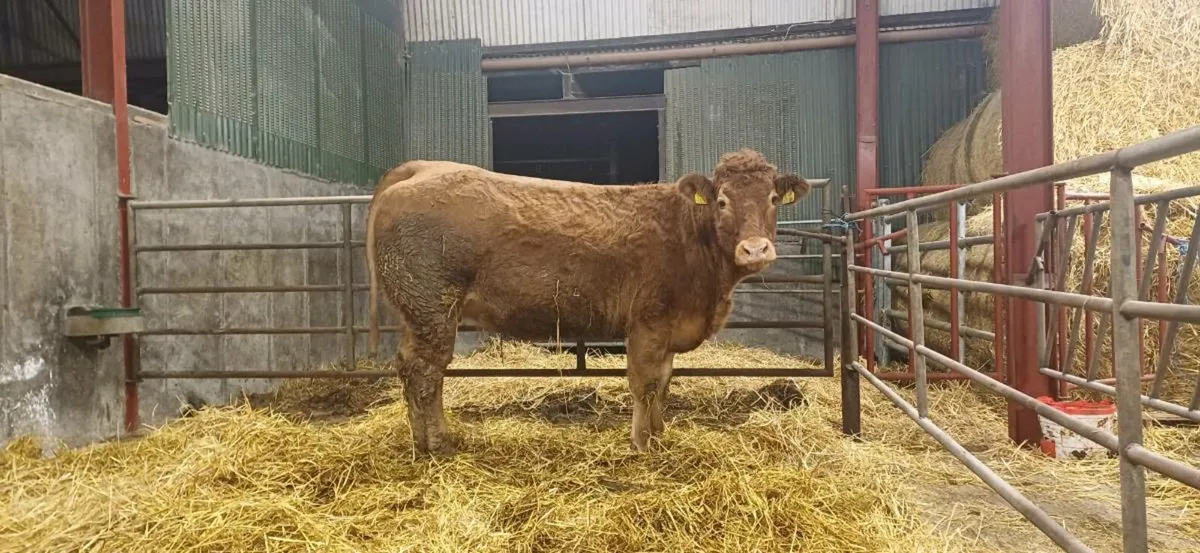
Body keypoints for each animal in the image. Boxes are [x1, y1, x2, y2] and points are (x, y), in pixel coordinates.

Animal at [365, 149, 810, 455]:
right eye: (722, 201)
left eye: (773, 199)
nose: (755, 249)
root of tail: (421, 168)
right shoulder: (648, 323)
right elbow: (645, 384)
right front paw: (641, 443)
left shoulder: (668, 329)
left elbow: (664, 383)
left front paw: (659, 434)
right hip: (432, 306)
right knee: (427, 372)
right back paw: (439, 444)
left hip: (418, 313)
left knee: (413, 368)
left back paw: (421, 441)